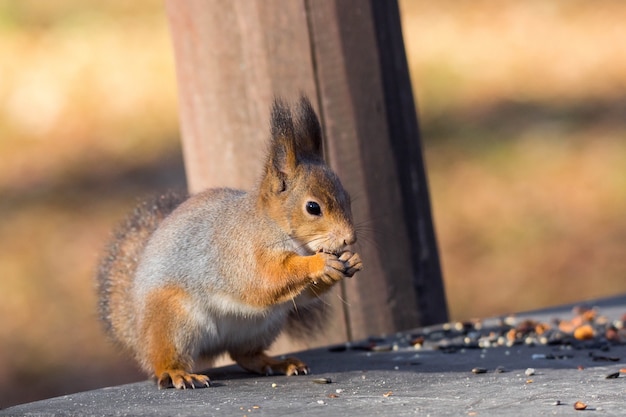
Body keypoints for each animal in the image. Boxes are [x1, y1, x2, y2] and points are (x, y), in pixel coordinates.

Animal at [96, 96, 360, 388]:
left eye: (347, 197)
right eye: (313, 207)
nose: (350, 238)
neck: (275, 226)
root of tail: (136, 326)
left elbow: (300, 295)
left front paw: (349, 260)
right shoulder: (242, 253)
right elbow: (267, 278)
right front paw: (320, 264)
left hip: (262, 326)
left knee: (245, 355)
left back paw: (277, 363)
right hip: (174, 320)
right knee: (163, 359)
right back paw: (177, 373)